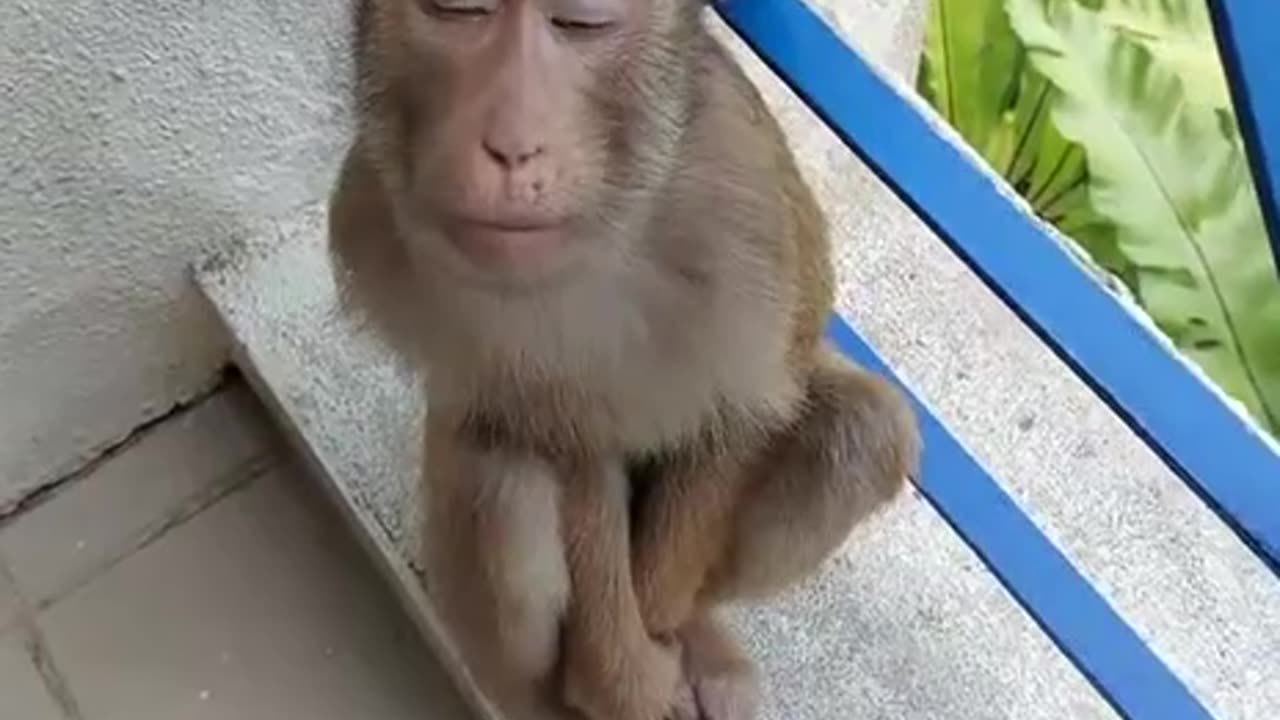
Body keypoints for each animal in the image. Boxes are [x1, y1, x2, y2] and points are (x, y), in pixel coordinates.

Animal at [326, 0, 922, 719]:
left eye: (582, 23)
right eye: (460, 11)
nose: (513, 145)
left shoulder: (745, 210)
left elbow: (740, 418)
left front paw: (659, 628)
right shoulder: (380, 220)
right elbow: (571, 445)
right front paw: (621, 679)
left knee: (862, 431)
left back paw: (695, 630)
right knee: (500, 481)